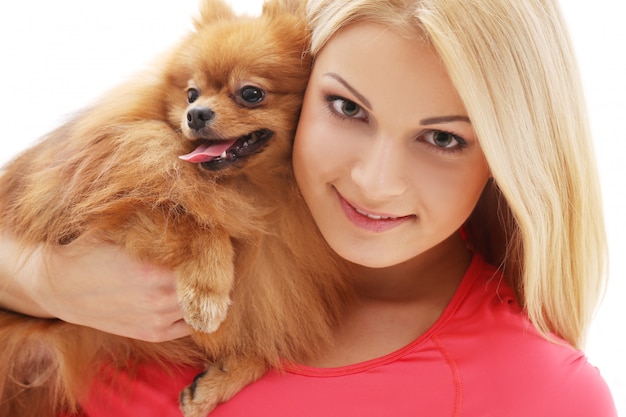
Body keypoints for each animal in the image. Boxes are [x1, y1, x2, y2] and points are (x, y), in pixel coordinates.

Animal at [0, 1, 352, 414]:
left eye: (251, 93)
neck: (251, 193)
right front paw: (206, 293)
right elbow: (188, 216)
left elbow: (264, 340)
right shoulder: (109, 209)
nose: (196, 113)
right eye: (191, 94)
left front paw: (219, 380)